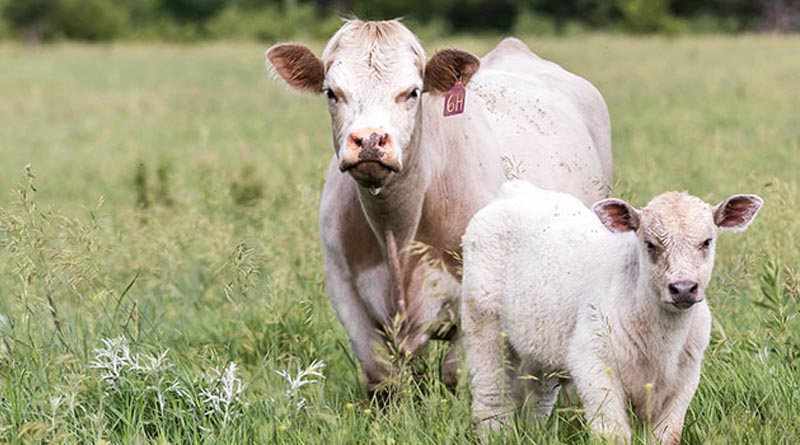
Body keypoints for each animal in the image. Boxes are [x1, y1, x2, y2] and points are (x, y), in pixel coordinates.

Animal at [266, 19, 612, 396]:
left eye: (412, 92)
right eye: (331, 92)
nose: (370, 140)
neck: (396, 234)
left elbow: (458, 376)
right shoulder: (345, 291)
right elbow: (381, 377)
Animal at [461, 180, 763, 443]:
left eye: (706, 242)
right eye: (651, 244)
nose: (684, 288)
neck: (661, 340)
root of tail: (516, 190)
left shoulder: (685, 378)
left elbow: (668, 436)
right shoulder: (593, 364)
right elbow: (613, 435)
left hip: (543, 340)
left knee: (538, 398)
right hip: (482, 323)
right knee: (491, 399)